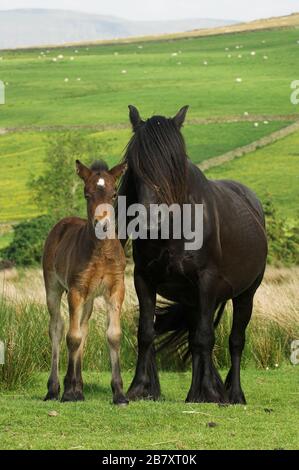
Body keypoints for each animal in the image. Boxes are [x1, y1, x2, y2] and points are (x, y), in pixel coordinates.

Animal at [42, 159, 127, 404]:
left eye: (114, 193)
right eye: (86, 194)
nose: (103, 224)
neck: (100, 253)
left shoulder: (117, 288)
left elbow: (113, 335)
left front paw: (119, 394)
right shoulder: (76, 290)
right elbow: (72, 337)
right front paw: (69, 393)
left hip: (89, 299)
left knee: (83, 329)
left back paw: (78, 385)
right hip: (53, 288)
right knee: (57, 328)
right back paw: (55, 389)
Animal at [118, 105, 268, 404]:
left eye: (174, 163)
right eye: (134, 165)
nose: (150, 221)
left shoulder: (207, 281)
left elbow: (206, 338)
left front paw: (209, 392)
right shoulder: (144, 279)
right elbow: (146, 332)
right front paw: (140, 387)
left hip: (245, 294)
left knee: (234, 340)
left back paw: (233, 393)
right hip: (192, 300)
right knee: (196, 335)